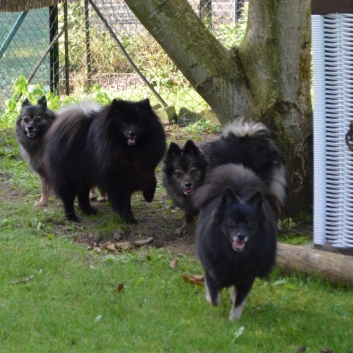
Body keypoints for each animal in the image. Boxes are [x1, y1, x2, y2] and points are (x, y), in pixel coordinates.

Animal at [192, 164, 278, 320]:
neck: (235, 256)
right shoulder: (211, 270)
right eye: (231, 222)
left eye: (250, 224)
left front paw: (234, 318)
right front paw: (210, 298)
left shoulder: (247, 276)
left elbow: (239, 299)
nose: (241, 236)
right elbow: (214, 298)